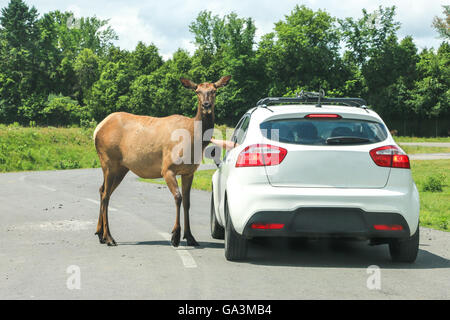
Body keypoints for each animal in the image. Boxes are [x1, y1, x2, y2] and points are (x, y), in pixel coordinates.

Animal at [92, 75, 230, 248]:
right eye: (197, 91)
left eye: (214, 90)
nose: (206, 105)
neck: (193, 137)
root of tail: (97, 129)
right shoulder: (167, 168)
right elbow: (178, 197)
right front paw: (175, 236)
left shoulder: (189, 171)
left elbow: (187, 202)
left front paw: (190, 237)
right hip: (108, 161)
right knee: (105, 195)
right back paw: (109, 237)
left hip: (121, 167)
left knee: (102, 189)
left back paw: (100, 235)